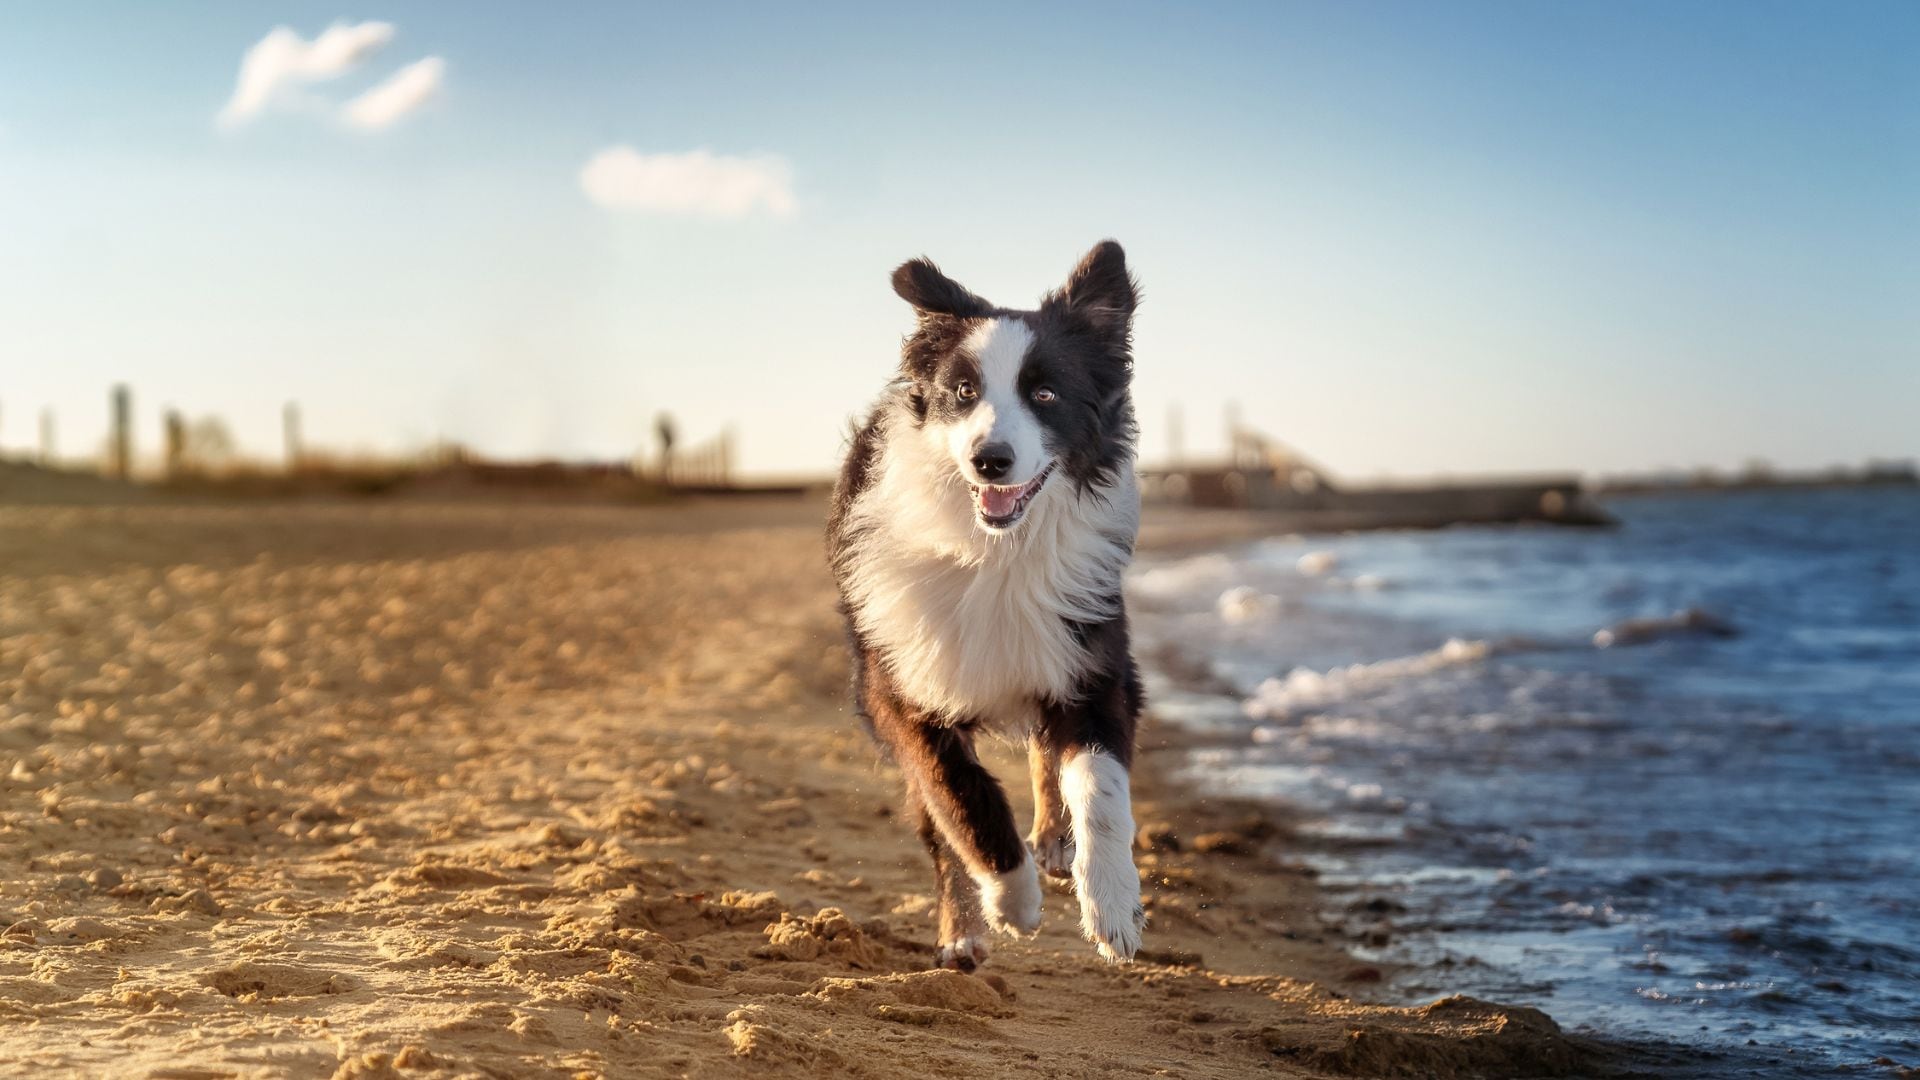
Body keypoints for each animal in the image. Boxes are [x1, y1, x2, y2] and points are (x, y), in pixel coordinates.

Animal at [825, 239, 1136, 960]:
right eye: (964, 393)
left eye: (1045, 394)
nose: (989, 460)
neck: (996, 551)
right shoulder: (900, 689)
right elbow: (962, 798)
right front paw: (1013, 900)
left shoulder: (1092, 662)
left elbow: (1102, 788)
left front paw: (1113, 904)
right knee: (939, 824)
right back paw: (964, 931)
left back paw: (1055, 839)